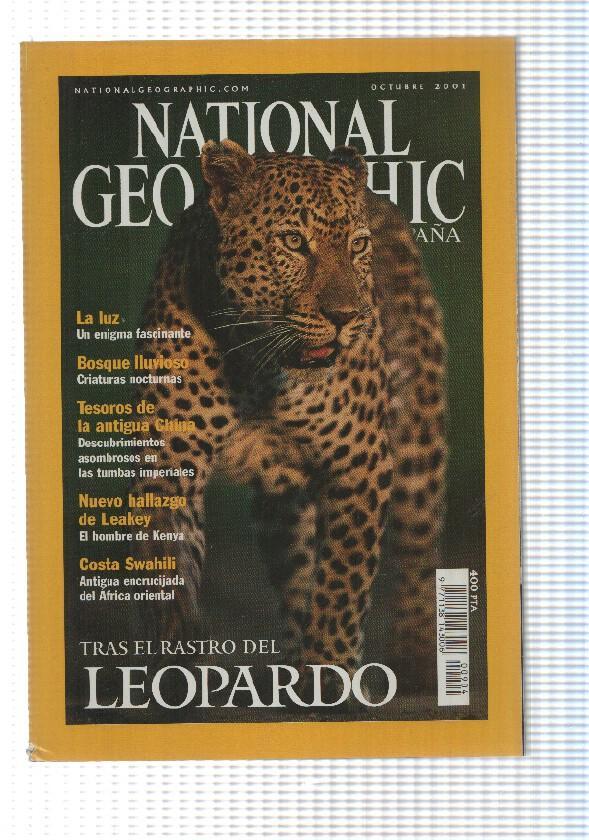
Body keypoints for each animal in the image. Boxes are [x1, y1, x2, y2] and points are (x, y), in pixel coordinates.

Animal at [128, 139, 447, 699]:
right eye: (294, 242)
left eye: (357, 246)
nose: (346, 317)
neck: (257, 363)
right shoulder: (165, 463)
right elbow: (167, 566)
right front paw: (174, 655)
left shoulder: (362, 461)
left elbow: (344, 578)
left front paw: (334, 671)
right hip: (283, 499)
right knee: (297, 572)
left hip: (418, 441)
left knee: (417, 552)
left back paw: (414, 661)